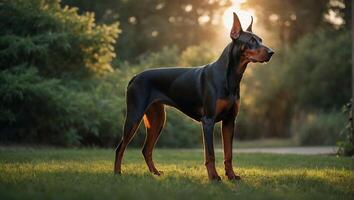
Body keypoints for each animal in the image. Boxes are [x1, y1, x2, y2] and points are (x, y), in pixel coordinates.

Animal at [114, 12, 274, 181]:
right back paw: (117, 173)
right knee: (120, 148)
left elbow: (228, 154)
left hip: (158, 120)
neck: (230, 77)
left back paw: (155, 173)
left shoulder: (229, 121)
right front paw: (214, 177)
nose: (272, 52)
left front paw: (231, 175)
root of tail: (135, 77)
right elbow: (210, 154)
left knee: (146, 149)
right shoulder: (208, 121)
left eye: (261, 39)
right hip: (134, 116)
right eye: (251, 41)